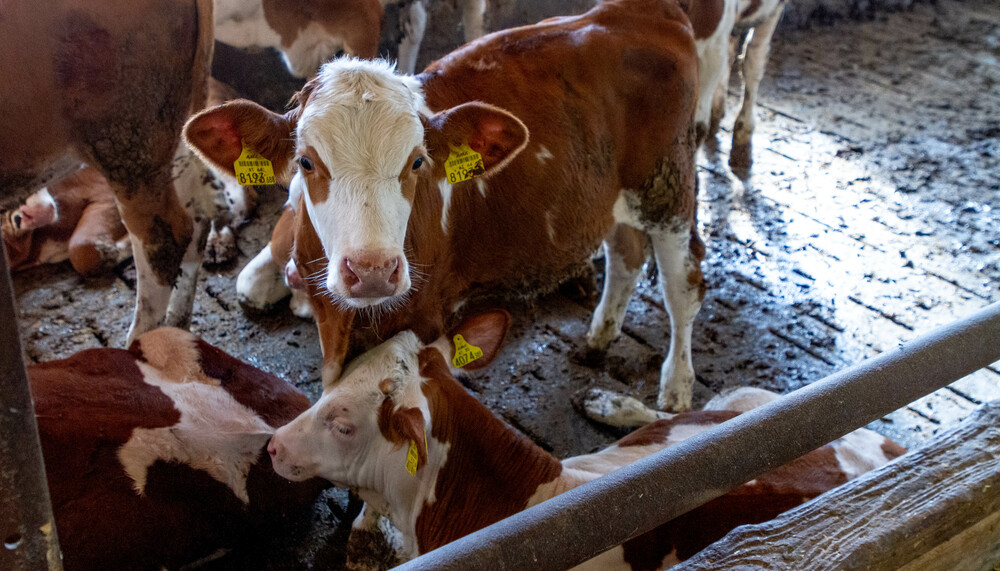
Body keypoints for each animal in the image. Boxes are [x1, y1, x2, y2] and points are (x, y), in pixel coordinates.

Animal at [0, 0, 218, 342]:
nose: (25, 214)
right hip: (172, 131)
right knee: (197, 220)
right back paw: (176, 326)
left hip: (127, 137)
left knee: (163, 239)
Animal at [266, 312, 908, 568]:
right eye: (339, 374)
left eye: (344, 423)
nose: (273, 445)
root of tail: (892, 447)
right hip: (751, 398)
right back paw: (612, 404)